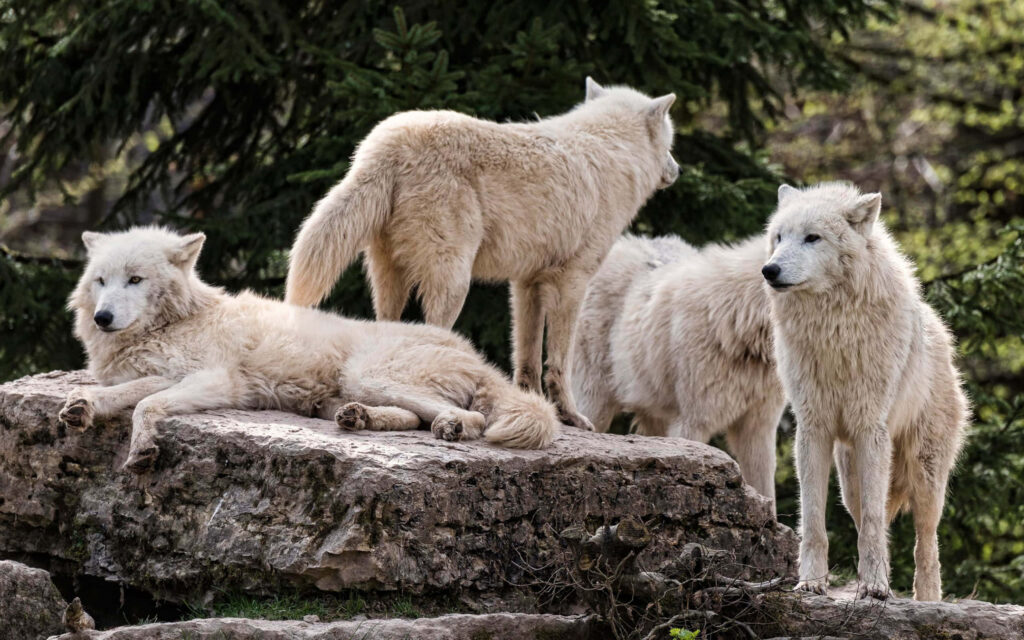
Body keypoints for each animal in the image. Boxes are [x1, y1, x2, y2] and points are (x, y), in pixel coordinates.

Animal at [60, 227, 559, 473]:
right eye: (101, 280)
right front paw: (82, 406)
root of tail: (472, 353)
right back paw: (359, 419)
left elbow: (146, 405)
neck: (177, 320)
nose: (103, 318)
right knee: (410, 418)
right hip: (341, 395)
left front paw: (142, 448)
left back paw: (450, 427)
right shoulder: (157, 375)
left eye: (135, 279)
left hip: (367, 374)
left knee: (468, 417)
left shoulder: (214, 380)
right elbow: (119, 394)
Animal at [284, 77, 679, 432]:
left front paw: (533, 401)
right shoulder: (573, 282)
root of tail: (387, 144)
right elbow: (558, 362)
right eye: (671, 142)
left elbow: (527, 357)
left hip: (389, 278)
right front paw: (571, 416)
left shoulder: (526, 283)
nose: (677, 169)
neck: (610, 150)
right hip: (454, 283)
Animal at [762, 182, 968, 601]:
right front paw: (811, 582)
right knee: (869, 519)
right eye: (779, 237)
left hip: (924, 475)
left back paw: (927, 599)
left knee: (926, 542)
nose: (769, 270)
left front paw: (874, 587)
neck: (832, 331)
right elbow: (814, 520)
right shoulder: (813, 428)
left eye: (812, 238)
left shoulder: (871, 428)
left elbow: (876, 524)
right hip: (849, 482)